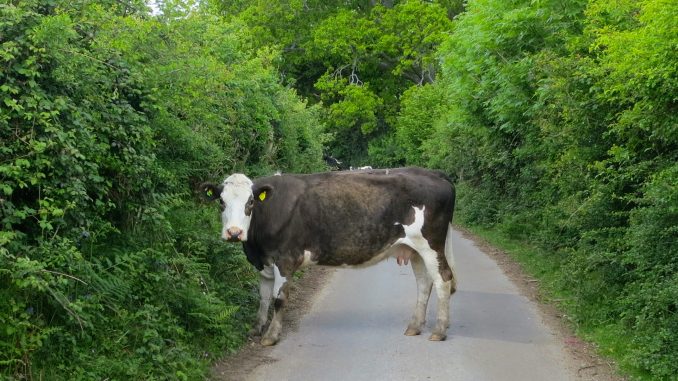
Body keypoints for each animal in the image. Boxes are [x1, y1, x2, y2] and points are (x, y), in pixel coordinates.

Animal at [201, 166, 456, 344]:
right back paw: (415, 326)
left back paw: (439, 330)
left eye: (251, 202)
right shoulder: (264, 264)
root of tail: (435, 173)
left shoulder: (285, 259)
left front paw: (271, 336)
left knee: (443, 280)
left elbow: (278, 299)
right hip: (415, 250)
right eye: (221, 201)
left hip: (430, 245)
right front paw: (256, 329)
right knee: (424, 283)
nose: (234, 232)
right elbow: (263, 298)